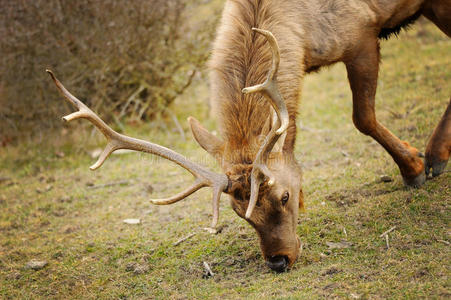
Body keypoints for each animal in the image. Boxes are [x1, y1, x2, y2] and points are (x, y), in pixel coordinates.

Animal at [47, 0, 450, 272]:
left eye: (284, 196)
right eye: (240, 212)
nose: (278, 261)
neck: (299, 33)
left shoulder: (361, 34)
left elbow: (362, 118)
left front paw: (412, 168)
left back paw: (432, 158)